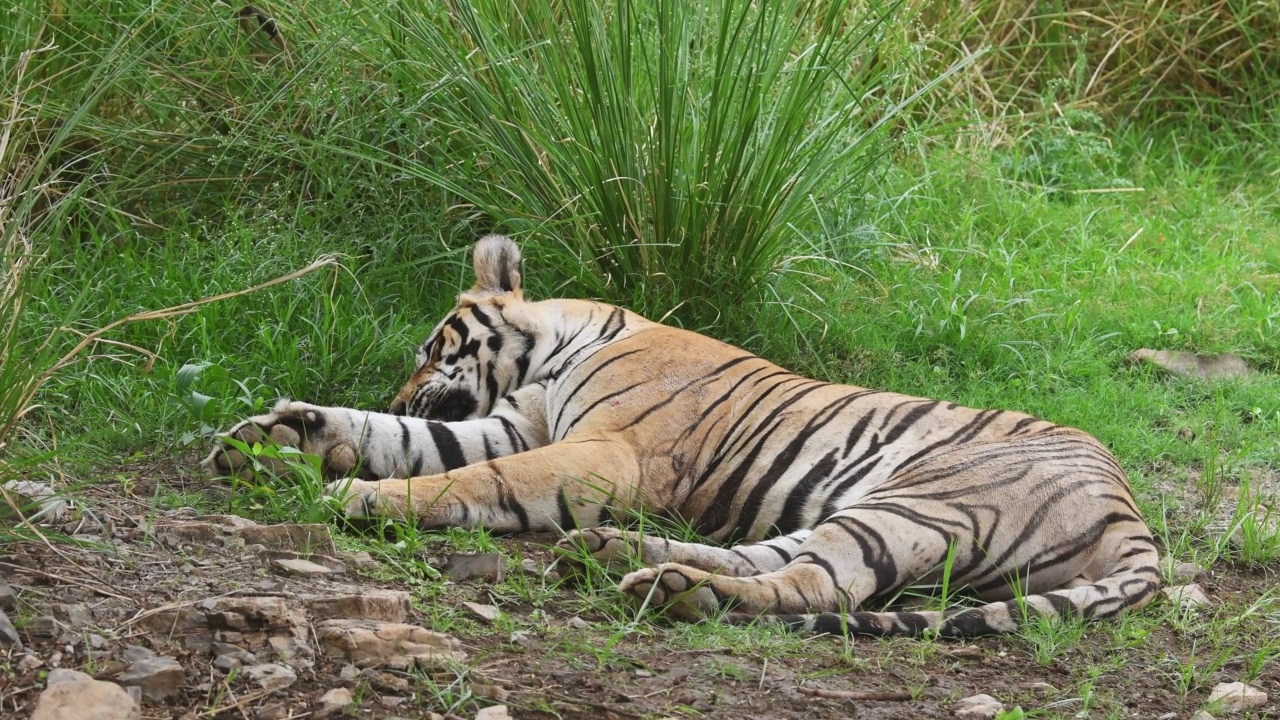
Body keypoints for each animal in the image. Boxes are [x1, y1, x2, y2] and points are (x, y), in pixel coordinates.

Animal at [204, 233, 1167, 630]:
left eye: (431, 349)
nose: (401, 386)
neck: (548, 352)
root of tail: (1129, 509)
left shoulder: (603, 454)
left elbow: (464, 479)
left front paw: (361, 495)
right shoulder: (511, 426)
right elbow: (414, 443)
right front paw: (273, 435)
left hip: (921, 504)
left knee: (820, 586)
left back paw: (674, 591)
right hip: (874, 510)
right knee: (777, 555)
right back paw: (617, 559)